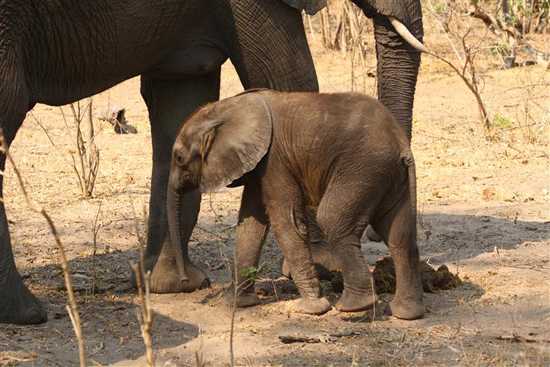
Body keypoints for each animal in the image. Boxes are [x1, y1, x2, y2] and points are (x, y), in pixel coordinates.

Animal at [168, 88, 426, 320]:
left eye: (179, 158)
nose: (184, 281)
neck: (227, 107)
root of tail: (401, 143)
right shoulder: (259, 166)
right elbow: (250, 226)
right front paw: (236, 304)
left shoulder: (274, 161)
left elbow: (287, 223)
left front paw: (311, 309)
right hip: (389, 176)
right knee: (400, 236)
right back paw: (406, 313)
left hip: (363, 169)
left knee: (331, 218)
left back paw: (353, 307)